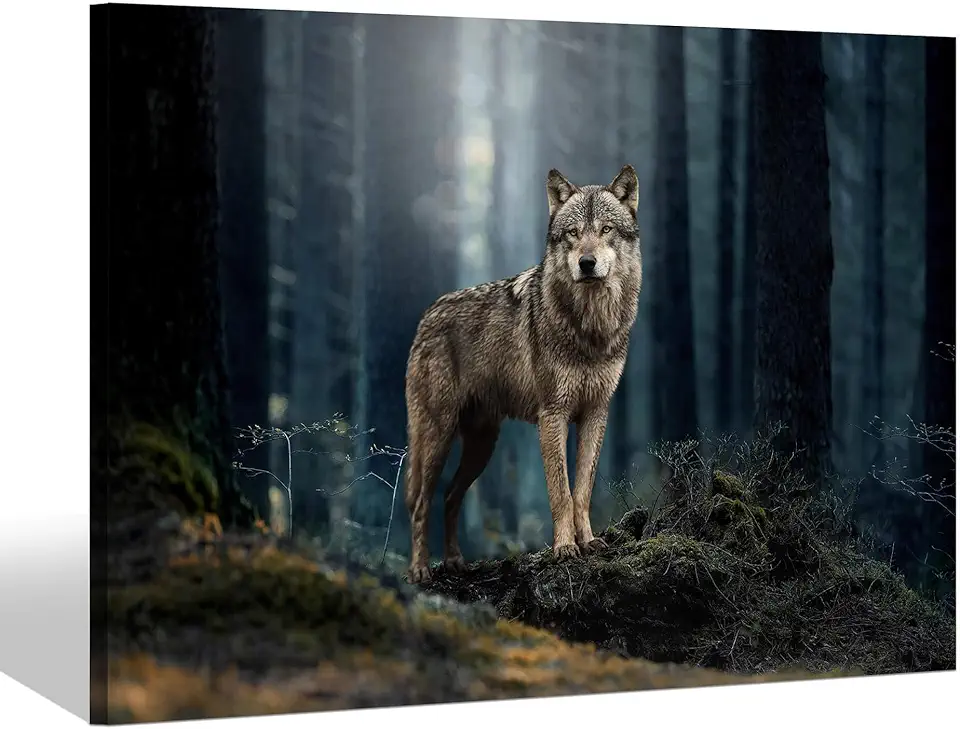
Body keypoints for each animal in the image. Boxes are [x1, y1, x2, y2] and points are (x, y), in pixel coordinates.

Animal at [403, 165, 643, 584]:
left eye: (606, 229)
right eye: (572, 233)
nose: (586, 263)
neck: (590, 329)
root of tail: (427, 315)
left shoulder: (596, 414)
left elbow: (582, 490)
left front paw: (588, 542)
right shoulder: (553, 415)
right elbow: (560, 491)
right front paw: (564, 548)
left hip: (482, 445)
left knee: (450, 497)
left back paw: (454, 561)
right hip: (438, 435)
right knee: (421, 502)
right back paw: (420, 570)